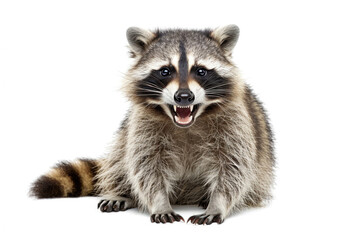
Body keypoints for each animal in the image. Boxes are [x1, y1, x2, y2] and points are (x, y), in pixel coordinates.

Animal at [31, 25, 274, 224]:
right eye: (165, 71)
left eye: (201, 71)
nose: (183, 97)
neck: (187, 123)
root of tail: (185, 197)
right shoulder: (142, 124)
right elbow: (145, 165)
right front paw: (159, 202)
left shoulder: (236, 122)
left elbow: (234, 166)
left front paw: (218, 203)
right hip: (125, 132)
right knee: (120, 156)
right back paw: (121, 191)